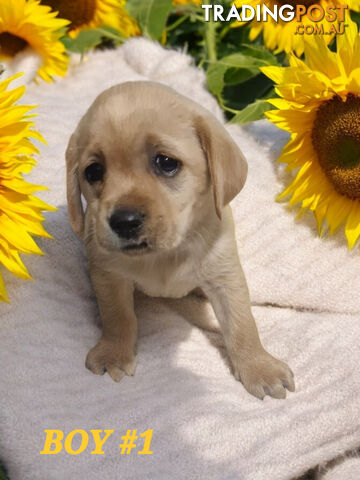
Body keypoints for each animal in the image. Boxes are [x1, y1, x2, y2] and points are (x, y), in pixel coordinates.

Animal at [65, 80, 296, 400]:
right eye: (93, 171)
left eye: (166, 162)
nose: (124, 221)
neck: (164, 255)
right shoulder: (108, 275)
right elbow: (117, 316)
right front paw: (114, 352)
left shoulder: (226, 277)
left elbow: (242, 325)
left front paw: (258, 366)